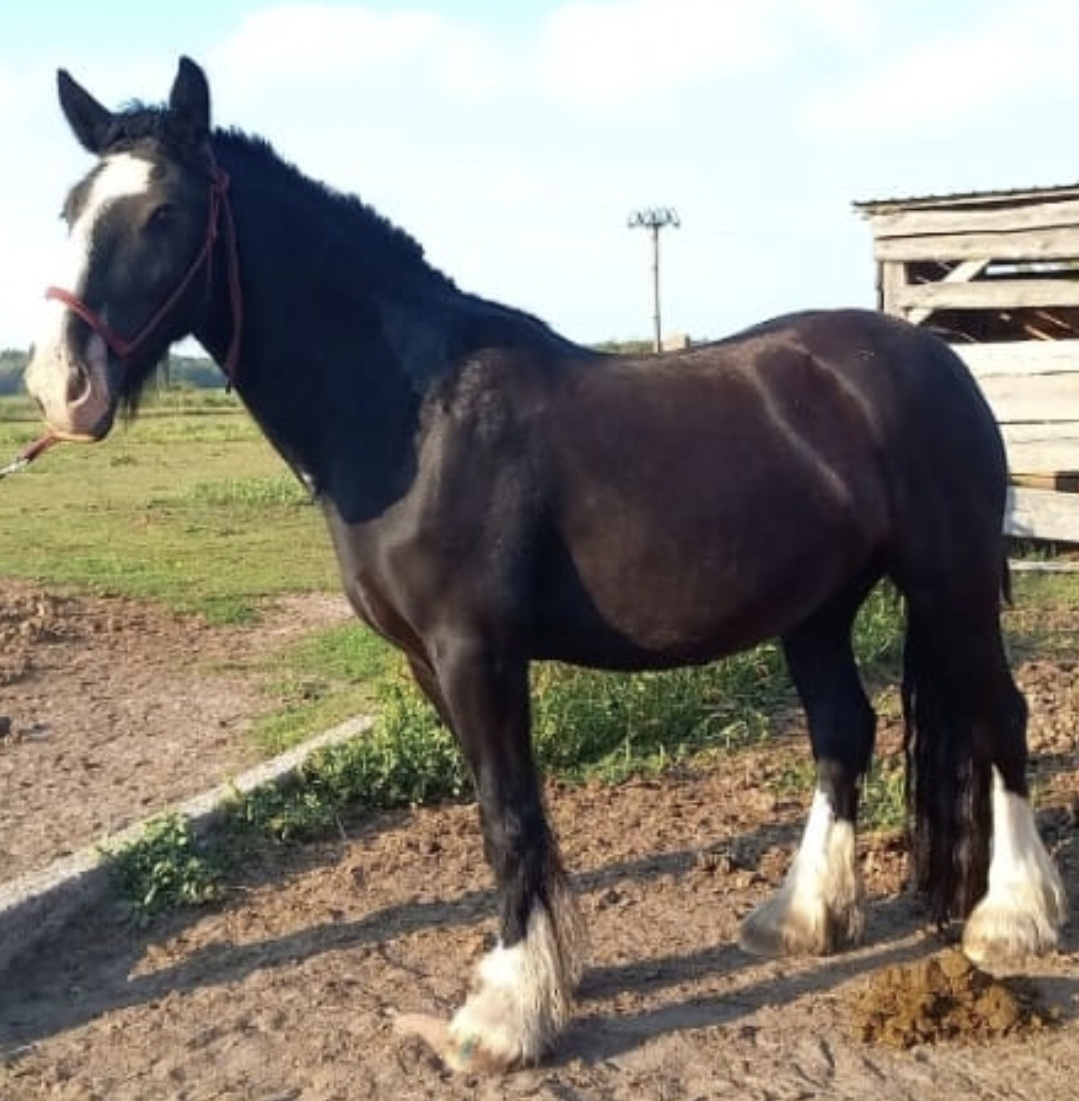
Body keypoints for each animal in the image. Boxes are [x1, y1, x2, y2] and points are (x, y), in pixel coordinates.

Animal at [21, 58, 1065, 1065]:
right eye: (71, 209)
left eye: (164, 212)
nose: (60, 384)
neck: (415, 416)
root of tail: (933, 358)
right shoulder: (427, 662)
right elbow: (507, 815)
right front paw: (539, 977)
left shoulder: (475, 652)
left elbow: (508, 815)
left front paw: (505, 1014)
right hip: (815, 608)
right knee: (843, 729)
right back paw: (803, 917)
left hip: (951, 585)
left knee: (999, 719)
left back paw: (1010, 919)